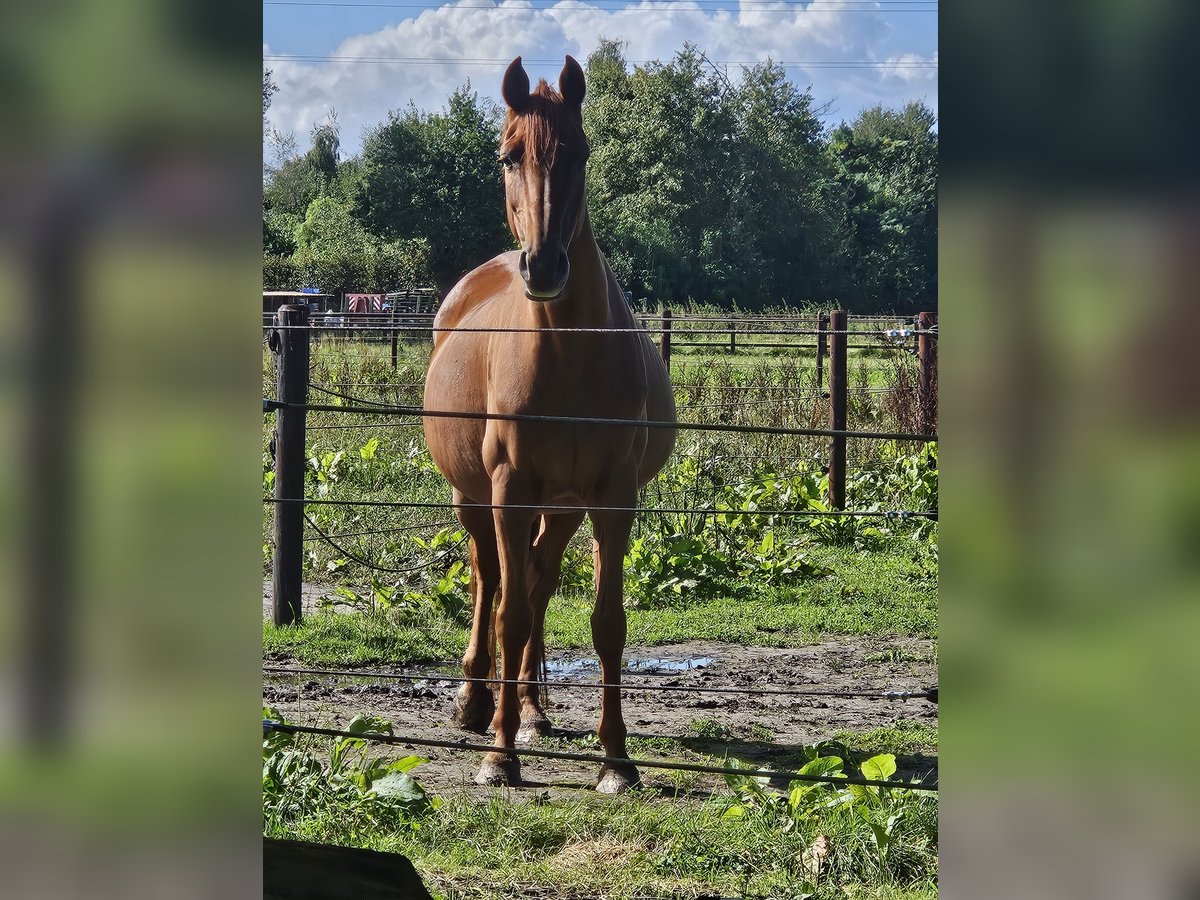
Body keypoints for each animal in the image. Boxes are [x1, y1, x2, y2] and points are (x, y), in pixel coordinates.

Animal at [422, 56, 676, 792]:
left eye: (580, 153)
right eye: (509, 156)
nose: (543, 266)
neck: (566, 351)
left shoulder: (612, 496)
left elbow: (606, 621)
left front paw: (616, 758)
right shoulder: (509, 489)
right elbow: (507, 613)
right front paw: (499, 756)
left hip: (560, 506)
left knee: (535, 578)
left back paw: (534, 709)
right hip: (475, 496)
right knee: (489, 579)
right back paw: (476, 702)